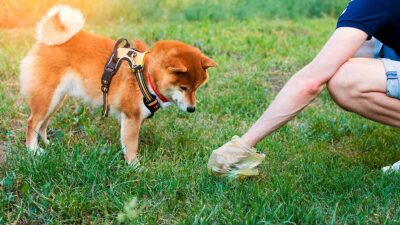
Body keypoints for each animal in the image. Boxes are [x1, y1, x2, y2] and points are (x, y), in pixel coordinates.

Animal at [19, 4, 217, 163]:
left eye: (196, 88)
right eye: (183, 88)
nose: (192, 109)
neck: (146, 75)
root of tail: (46, 41)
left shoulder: (135, 120)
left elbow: (129, 142)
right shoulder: (131, 117)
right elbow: (131, 145)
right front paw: (135, 167)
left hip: (55, 99)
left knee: (43, 124)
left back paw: (47, 144)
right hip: (47, 97)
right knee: (32, 122)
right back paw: (33, 150)